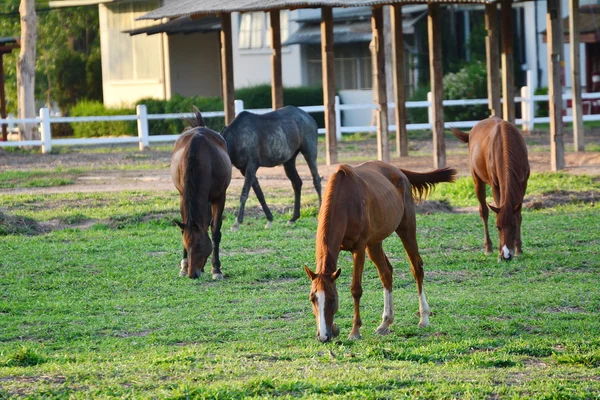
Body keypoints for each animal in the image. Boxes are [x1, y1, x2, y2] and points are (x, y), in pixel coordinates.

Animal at [172, 108, 233, 280]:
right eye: (186, 245)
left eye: (199, 245)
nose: (192, 274)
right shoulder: (183, 197)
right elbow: (184, 227)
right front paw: (184, 266)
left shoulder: (219, 197)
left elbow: (215, 231)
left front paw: (216, 269)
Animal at [304, 161, 454, 342]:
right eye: (312, 298)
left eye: (333, 299)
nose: (323, 336)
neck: (344, 199)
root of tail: (398, 170)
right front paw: (334, 328)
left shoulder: (359, 248)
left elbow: (356, 289)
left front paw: (355, 331)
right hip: (374, 243)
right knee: (386, 273)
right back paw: (385, 323)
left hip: (406, 228)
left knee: (417, 268)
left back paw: (423, 318)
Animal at [450, 116, 528, 260]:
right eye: (497, 227)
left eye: (514, 227)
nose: (506, 255)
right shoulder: (496, 185)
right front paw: (499, 251)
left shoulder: (523, 183)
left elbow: (518, 215)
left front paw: (519, 249)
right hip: (477, 179)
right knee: (484, 211)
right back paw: (488, 248)